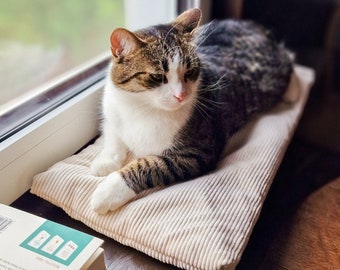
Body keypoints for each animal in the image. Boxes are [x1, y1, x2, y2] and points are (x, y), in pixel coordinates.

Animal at [90, 8, 294, 215]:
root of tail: (257, 27)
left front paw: (108, 191)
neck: (142, 108)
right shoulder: (113, 112)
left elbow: (150, 165)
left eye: (189, 71)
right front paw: (105, 162)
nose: (181, 95)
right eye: (157, 76)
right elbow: (113, 135)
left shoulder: (196, 154)